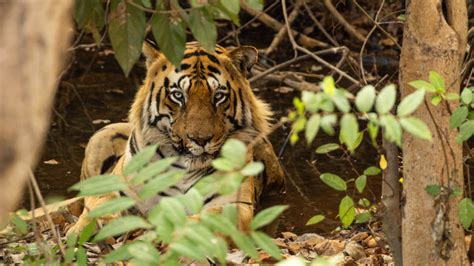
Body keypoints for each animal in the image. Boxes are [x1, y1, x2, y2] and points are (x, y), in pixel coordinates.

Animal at [66, 41, 286, 235]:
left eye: (218, 96)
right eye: (178, 95)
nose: (200, 139)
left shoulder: (235, 203)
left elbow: (210, 217)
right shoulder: (117, 186)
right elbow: (99, 204)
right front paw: (80, 230)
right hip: (102, 135)